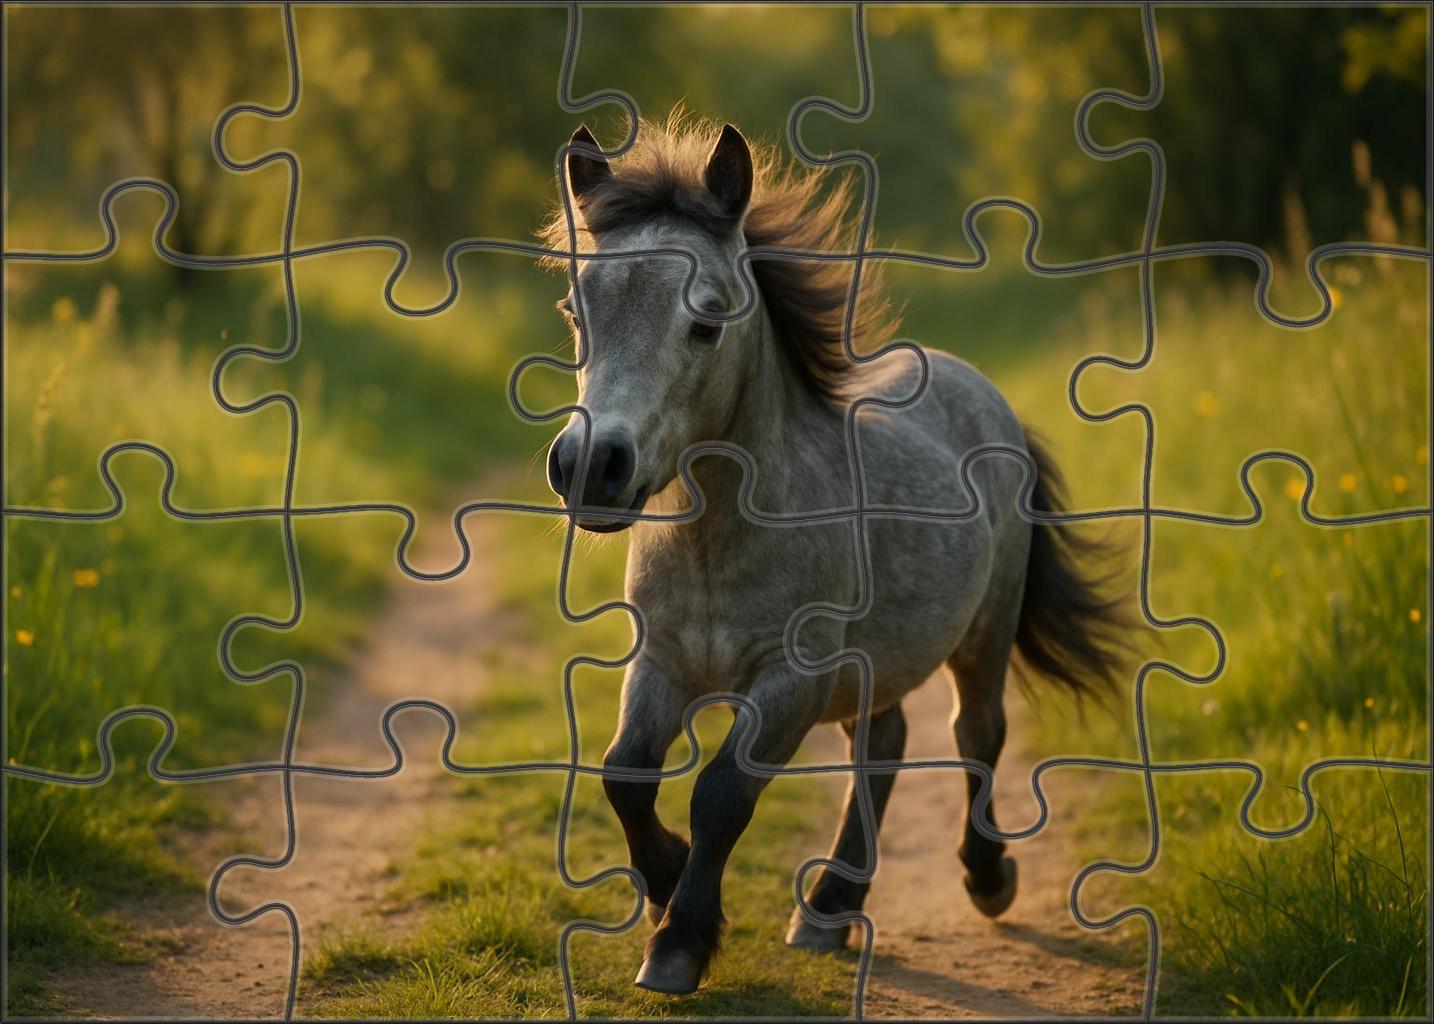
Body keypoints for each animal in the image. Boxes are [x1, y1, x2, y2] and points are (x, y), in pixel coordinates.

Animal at [539, 115, 1129, 995]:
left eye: (705, 322)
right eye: (579, 314)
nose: (591, 468)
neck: (720, 543)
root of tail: (978, 391)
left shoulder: (793, 681)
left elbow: (720, 795)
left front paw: (679, 941)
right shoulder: (661, 665)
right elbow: (625, 774)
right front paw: (666, 884)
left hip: (982, 636)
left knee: (975, 735)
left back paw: (984, 879)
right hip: (876, 665)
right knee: (882, 749)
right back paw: (829, 906)